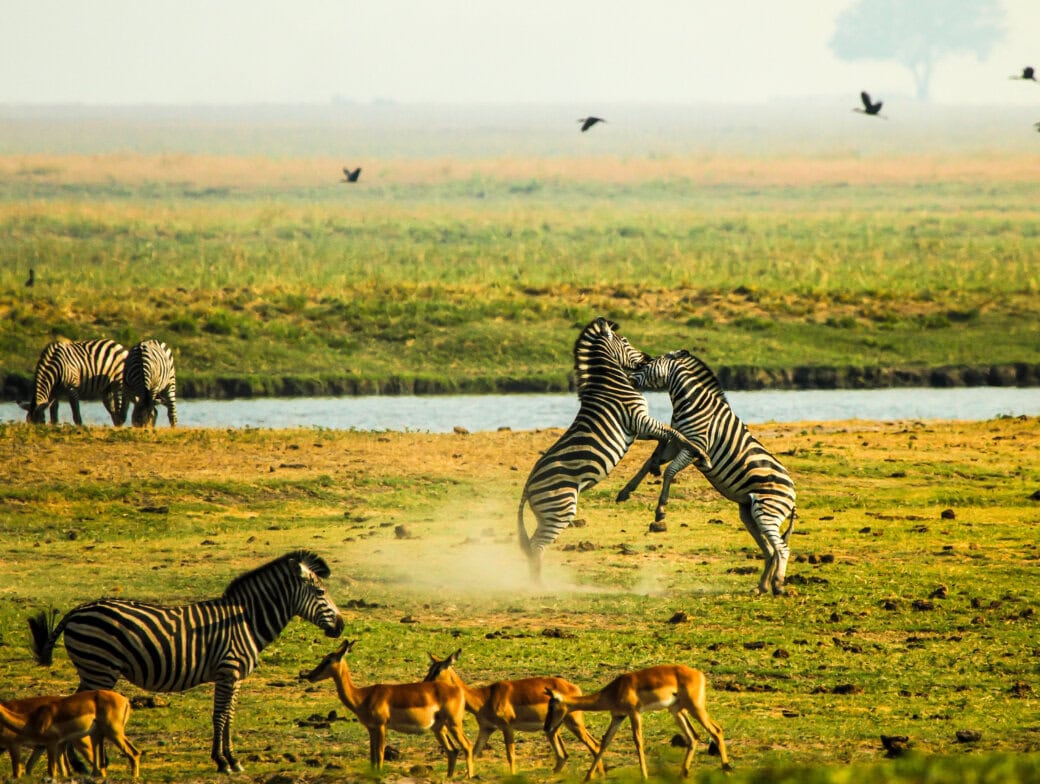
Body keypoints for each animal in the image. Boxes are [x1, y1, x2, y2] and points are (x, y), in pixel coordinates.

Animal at [27, 550, 345, 773]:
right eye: (320, 592)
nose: (341, 626)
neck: (246, 620)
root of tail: (78, 610)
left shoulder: (235, 677)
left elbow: (229, 717)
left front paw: (231, 759)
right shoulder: (228, 671)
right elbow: (220, 716)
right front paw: (223, 762)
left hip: (93, 669)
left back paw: (79, 765)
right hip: (99, 668)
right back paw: (83, 765)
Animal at [517, 318, 710, 581]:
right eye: (625, 341)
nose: (647, 356)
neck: (609, 383)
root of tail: (528, 486)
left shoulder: (639, 427)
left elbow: (664, 439)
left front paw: (655, 466)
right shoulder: (639, 420)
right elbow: (676, 434)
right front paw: (702, 454)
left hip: (547, 514)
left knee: (534, 546)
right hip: (560, 507)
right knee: (537, 547)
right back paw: (540, 585)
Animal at [616, 350, 796, 595]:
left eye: (648, 363)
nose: (628, 379)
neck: (692, 403)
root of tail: (793, 493)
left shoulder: (695, 446)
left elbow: (669, 471)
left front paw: (660, 510)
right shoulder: (678, 443)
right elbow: (649, 462)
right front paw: (625, 491)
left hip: (767, 511)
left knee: (782, 549)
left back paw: (777, 584)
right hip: (750, 513)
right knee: (770, 550)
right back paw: (762, 586)